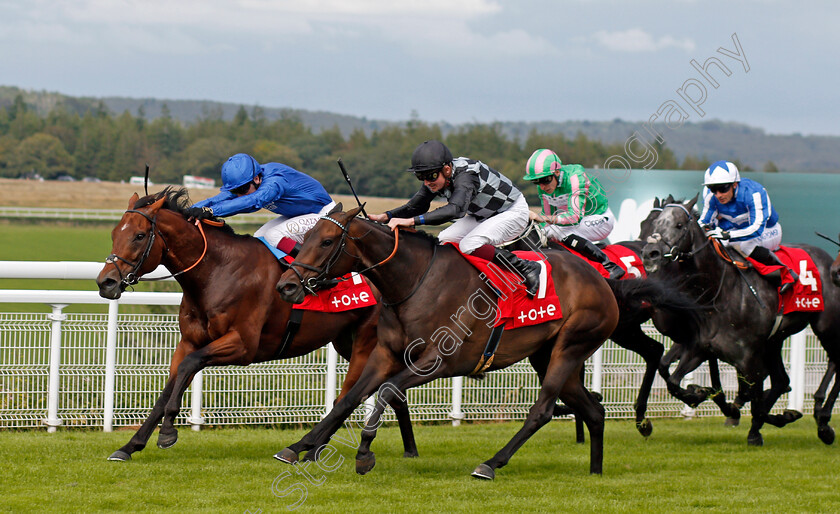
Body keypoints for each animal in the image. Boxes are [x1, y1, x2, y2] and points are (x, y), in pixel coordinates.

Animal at [97, 188, 418, 460]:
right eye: (113, 233)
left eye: (139, 235)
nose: (105, 282)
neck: (217, 271)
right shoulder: (189, 340)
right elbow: (168, 387)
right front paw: (130, 445)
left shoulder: (242, 345)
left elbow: (190, 365)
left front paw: (167, 432)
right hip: (347, 342)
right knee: (390, 392)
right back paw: (408, 450)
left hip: (366, 343)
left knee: (348, 395)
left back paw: (309, 449)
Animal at [274, 202, 696, 478]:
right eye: (306, 235)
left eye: (327, 241)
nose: (286, 286)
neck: (414, 282)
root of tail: (605, 280)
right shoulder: (385, 353)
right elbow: (349, 398)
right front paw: (300, 447)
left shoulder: (437, 362)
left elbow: (388, 391)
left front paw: (363, 452)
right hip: (549, 354)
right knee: (593, 409)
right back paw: (595, 470)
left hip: (572, 344)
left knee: (543, 409)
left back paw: (491, 463)